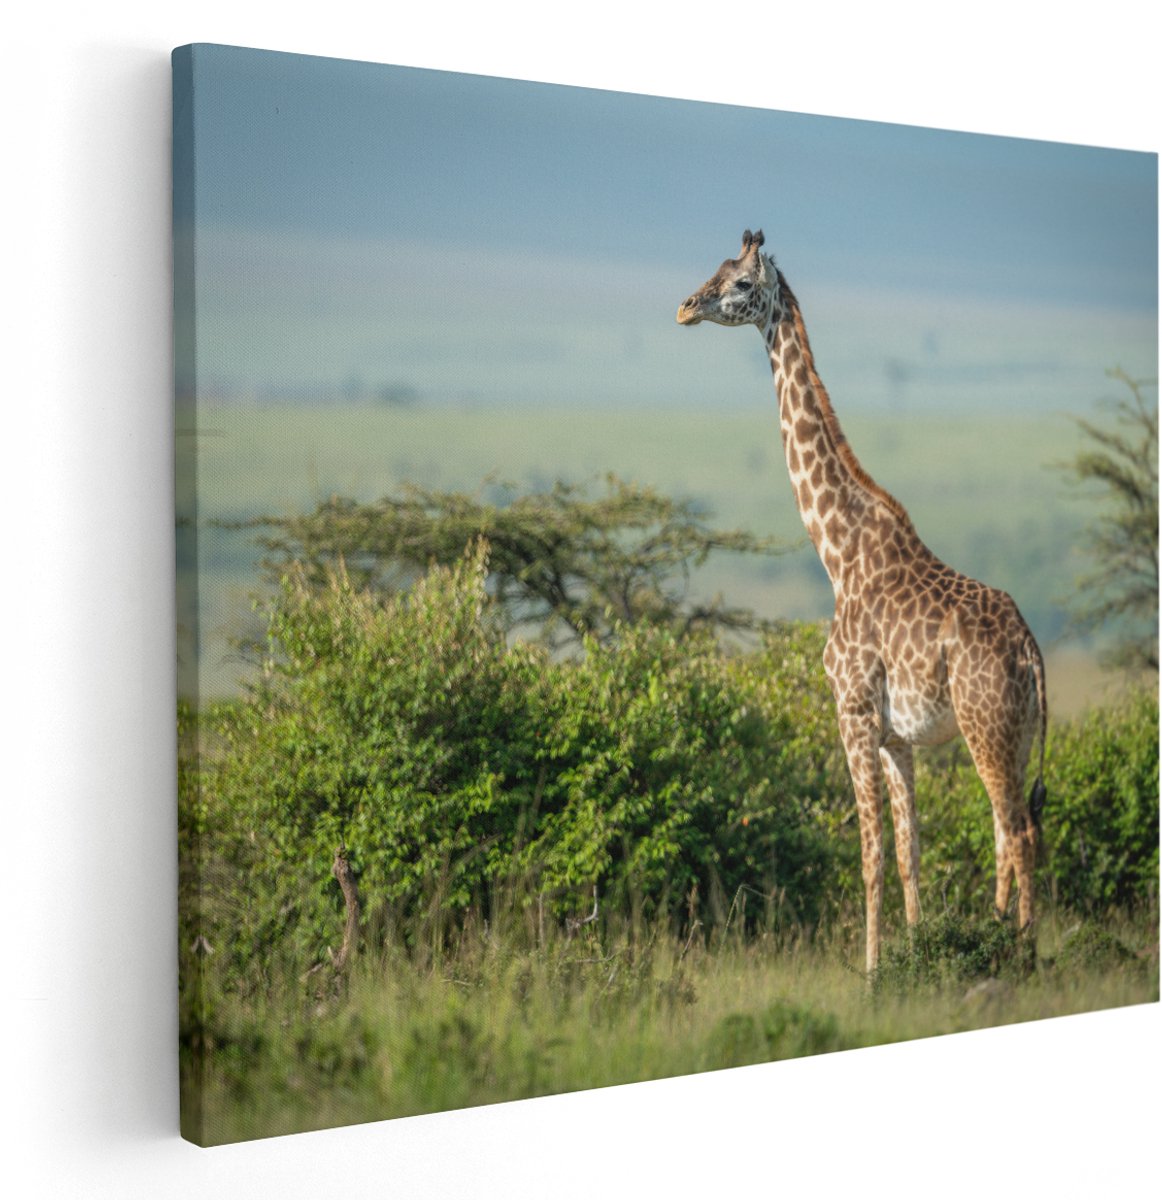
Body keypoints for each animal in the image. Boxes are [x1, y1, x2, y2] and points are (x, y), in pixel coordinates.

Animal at [677, 229, 1047, 974]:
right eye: (715, 271)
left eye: (738, 285)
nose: (684, 307)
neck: (836, 553)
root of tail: (1030, 650)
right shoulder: (895, 736)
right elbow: (908, 855)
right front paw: (917, 955)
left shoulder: (850, 712)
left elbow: (869, 854)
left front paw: (872, 973)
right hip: (1014, 734)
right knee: (1008, 833)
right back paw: (999, 938)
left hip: (985, 727)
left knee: (1018, 834)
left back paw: (1021, 956)